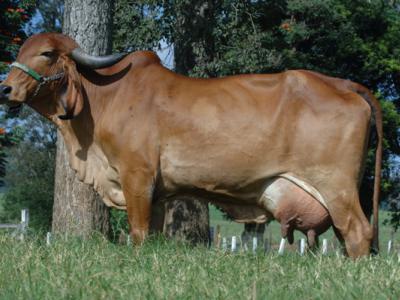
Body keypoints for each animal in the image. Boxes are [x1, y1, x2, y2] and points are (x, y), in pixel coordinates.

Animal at [0, 33, 382, 258]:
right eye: (21, 50)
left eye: (47, 53)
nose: (6, 88)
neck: (107, 97)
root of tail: (341, 84)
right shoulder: (154, 192)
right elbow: (151, 234)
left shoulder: (136, 177)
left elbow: (138, 232)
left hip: (337, 186)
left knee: (358, 232)